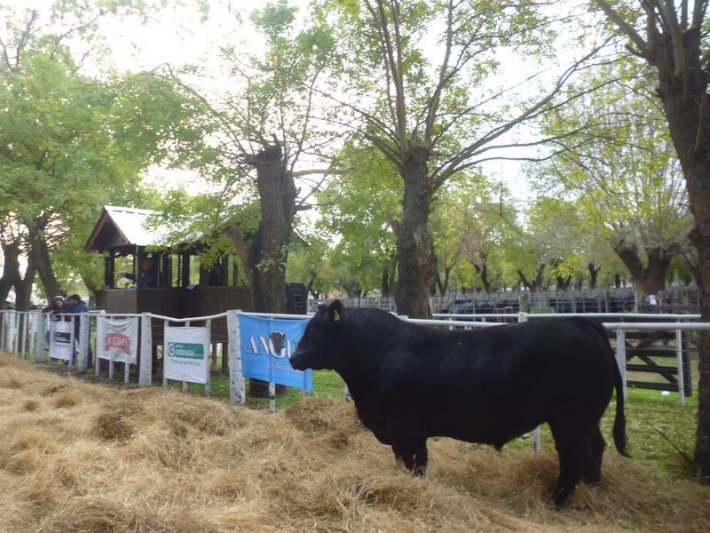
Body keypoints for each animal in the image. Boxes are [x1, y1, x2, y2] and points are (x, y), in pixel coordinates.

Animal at [290, 300, 630, 508]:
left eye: (314, 330)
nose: (293, 358)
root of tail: (580, 323)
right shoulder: (409, 432)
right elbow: (413, 464)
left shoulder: (405, 429)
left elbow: (413, 463)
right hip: (587, 418)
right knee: (596, 448)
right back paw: (594, 489)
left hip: (570, 417)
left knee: (575, 455)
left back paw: (556, 502)